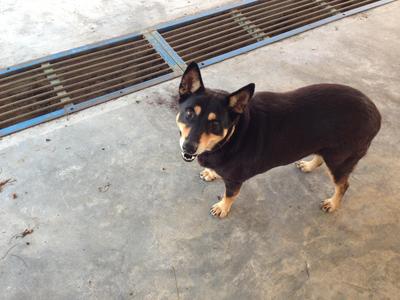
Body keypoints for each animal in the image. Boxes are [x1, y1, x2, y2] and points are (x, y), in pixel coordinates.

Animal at [176, 62, 382, 218]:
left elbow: (230, 195)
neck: (232, 135)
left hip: (341, 158)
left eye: (215, 124)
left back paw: (333, 203)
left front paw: (222, 207)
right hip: (327, 147)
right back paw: (309, 165)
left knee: (343, 185)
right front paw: (211, 173)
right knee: (321, 157)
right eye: (189, 113)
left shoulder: (235, 180)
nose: (189, 147)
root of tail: (376, 113)